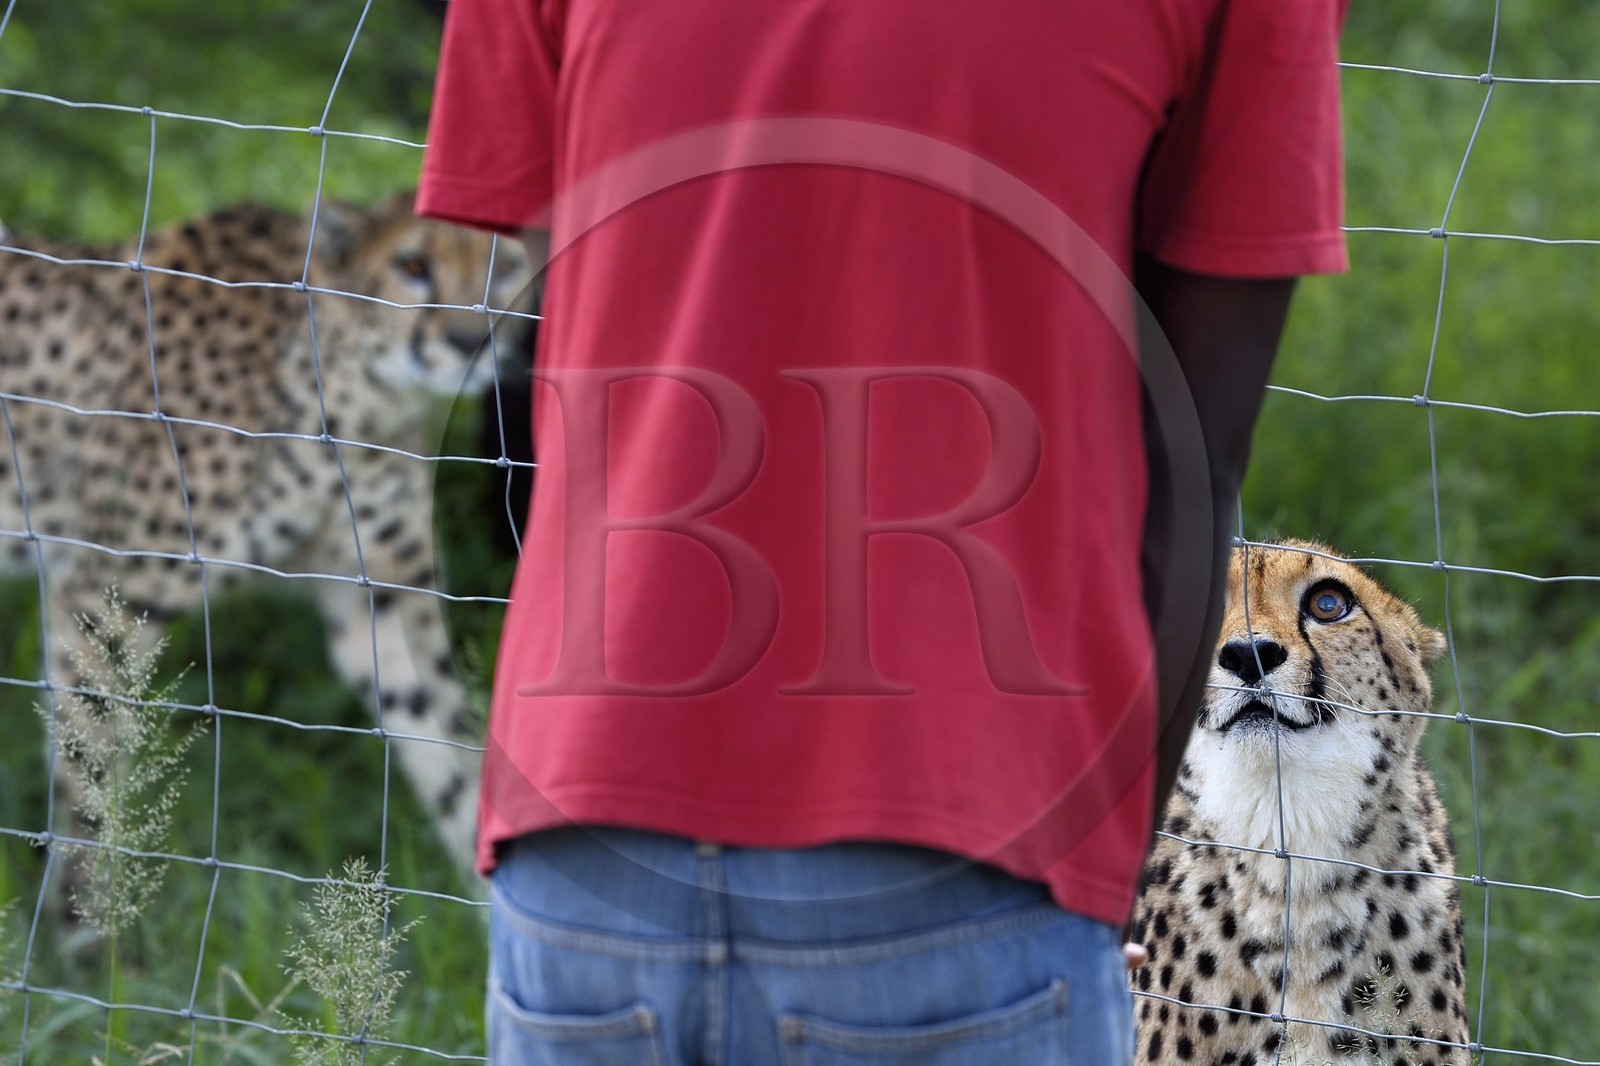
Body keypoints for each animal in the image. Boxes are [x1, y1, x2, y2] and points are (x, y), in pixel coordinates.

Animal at [0, 193, 530, 886]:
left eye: (507, 268)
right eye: (412, 266)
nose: (470, 340)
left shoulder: (380, 598)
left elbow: (450, 754)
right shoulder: (102, 597)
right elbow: (89, 789)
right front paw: (90, 912)